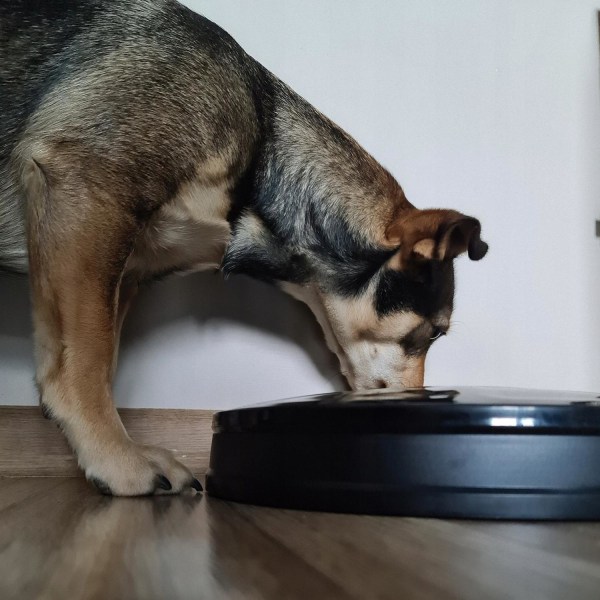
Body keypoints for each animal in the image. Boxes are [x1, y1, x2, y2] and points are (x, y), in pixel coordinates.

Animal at [0, 1, 488, 496]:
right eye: (431, 334)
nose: (422, 400)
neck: (261, 155)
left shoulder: (124, 268)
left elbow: (96, 357)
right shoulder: (89, 199)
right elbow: (87, 360)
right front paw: (116, 458)